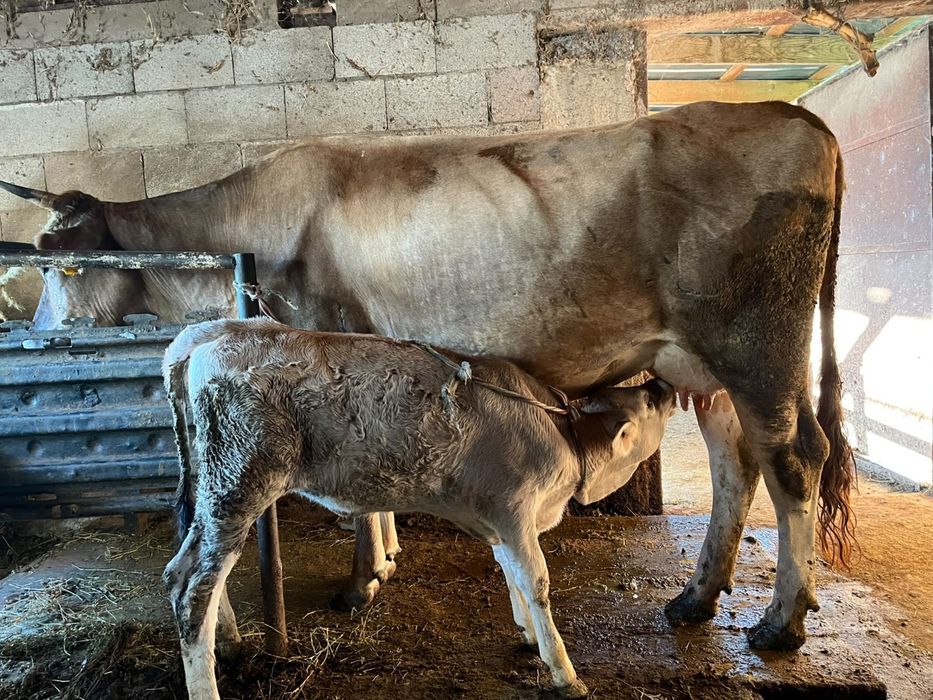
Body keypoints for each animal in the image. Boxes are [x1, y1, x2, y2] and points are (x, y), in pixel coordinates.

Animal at [0, 100, 854, 650]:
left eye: (55, 264)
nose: (34, 334)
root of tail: (792, 115)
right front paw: (384, 561)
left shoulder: (331, 330)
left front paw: (358, 581)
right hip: (704, 365)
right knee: (733, 462)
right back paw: (696, 597)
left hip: (757, 344)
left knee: (793, 460)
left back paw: (781, 622)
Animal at [162, 318, 677, 699]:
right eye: (648, 400)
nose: (664, 384)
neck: (565, 438)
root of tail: (218, 330)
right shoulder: (514, 509)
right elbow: (537, 582)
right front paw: (563, 671)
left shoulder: (501, 520)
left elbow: (510, 572)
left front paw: (529, 636)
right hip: (241, 481)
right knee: (193, 586)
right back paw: (206, 684)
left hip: (214, 487)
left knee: (187, 567)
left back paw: (229, 645)